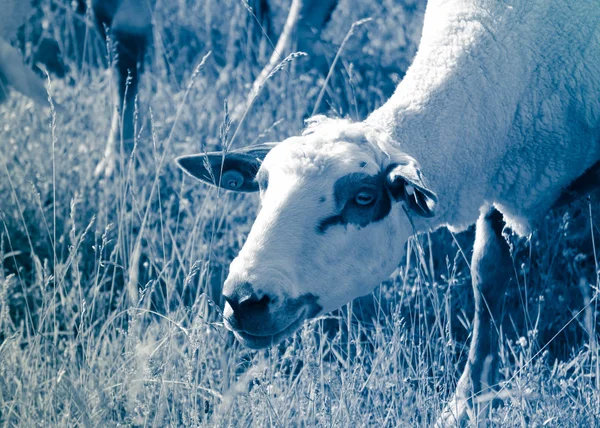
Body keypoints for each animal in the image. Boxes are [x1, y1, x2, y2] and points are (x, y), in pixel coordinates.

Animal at [177, 0, 600, 422]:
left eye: (363, 199)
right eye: (263, 184)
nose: (242, 299)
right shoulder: (497, 164)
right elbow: (488, 276)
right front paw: (469, 402)